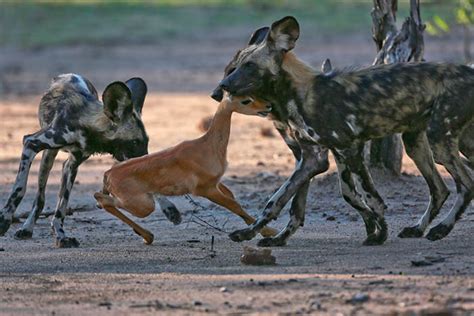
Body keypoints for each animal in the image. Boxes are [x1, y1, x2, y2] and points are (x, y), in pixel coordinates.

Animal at [0, 73, 176, 247]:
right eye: (134, 142)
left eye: (146, 142)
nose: (146, 157)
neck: (87, 126)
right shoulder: (31, 143)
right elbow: (19, 189)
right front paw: (5, 219)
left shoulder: (73, 163)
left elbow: (61, 207)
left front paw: (61, 236)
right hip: (48, 158)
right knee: (40, 197)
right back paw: (26, 228)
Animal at [93, 94, 278, 244]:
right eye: (246, 100)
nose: (268, 106)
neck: (208, 145)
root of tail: (108, 175)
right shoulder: (206, 189)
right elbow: (235, 205)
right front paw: (270, 232)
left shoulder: (217, 182)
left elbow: (233, 198)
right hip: (144, 206)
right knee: (101, 199)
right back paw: (148, 236)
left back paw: (148, 236)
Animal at [214, 15, 474, 247]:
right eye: (232, 68)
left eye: (249, 66)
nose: (221, 89)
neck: (298, 95)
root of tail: (469, 71)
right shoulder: (311, 159)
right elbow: (278, 201)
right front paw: (255, 234)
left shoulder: (348, 150)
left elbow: (371, 199)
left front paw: (379, 235)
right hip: (424, 144)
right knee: (440, 189)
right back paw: (419, 229)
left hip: (439, 142)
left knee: (466, 185)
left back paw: (441, 229)